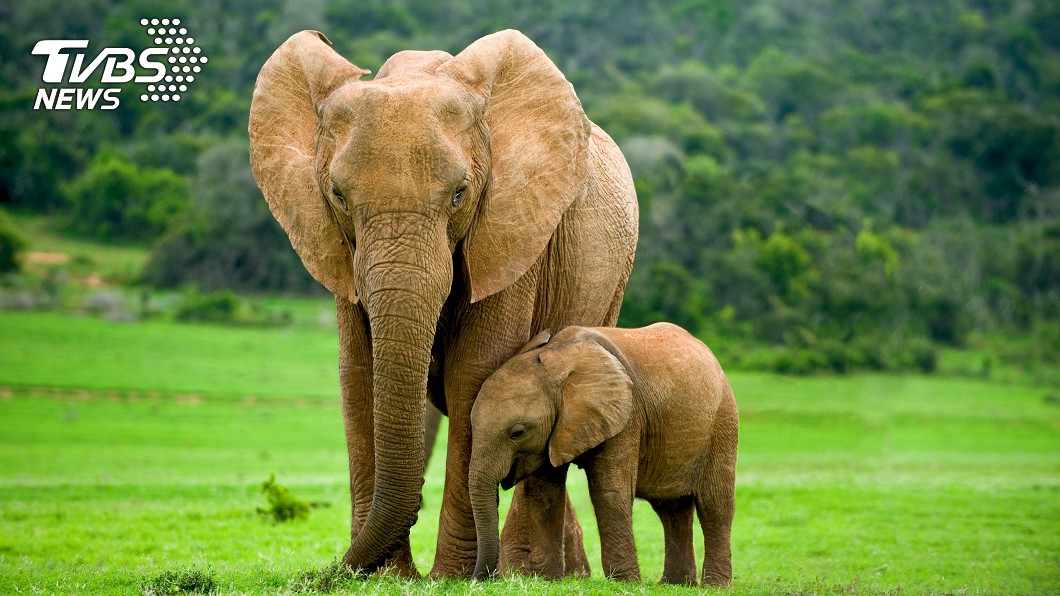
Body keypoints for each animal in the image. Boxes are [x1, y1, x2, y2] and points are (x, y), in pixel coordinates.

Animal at [248, 29, 638, 577]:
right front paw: (388, 577)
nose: (326, 574)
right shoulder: (338, 249)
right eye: (338, 196)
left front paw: (451, 577)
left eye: (459, 194)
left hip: (613, 279)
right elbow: (359, 372)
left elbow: (474, 373)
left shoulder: (511, 229)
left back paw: (530, 573)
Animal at [468, 324, 738, 586]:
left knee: (714, 505)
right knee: (671, 508)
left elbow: (609, 490)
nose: (479, 579)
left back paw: (715, 585)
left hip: (723, 421)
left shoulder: (625, 415)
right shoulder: (554, 431)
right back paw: (675, 584)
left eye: (517, 432)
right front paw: (548, 580)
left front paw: (625, 583)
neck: (557, 363)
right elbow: (544, 493)